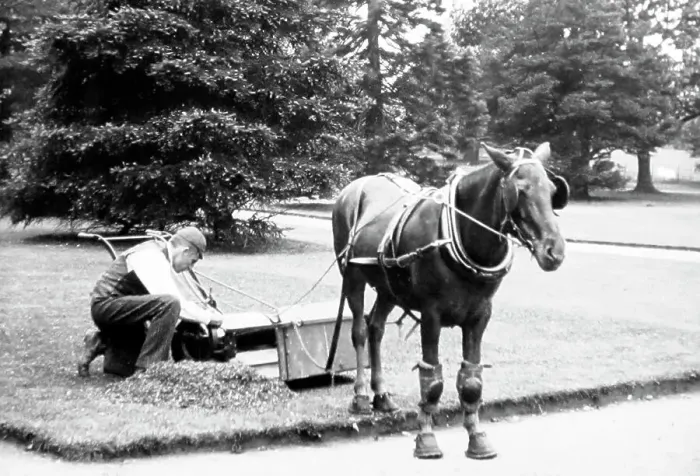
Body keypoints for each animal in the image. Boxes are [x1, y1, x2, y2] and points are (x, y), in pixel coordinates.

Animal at [331, 142, 568, 460]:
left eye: (553, 191)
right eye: (521, 190)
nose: (554, 251)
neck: (462, 236)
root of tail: (354, 186)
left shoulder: (480, 316)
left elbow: (471, 380)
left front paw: (477, 437)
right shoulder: (431, 315)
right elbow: (432, 381)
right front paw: (426, 439)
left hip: (388, 287)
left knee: (375, 328)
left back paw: (381, 395)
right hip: (352, 277)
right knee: (358, 330)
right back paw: (360, 396)